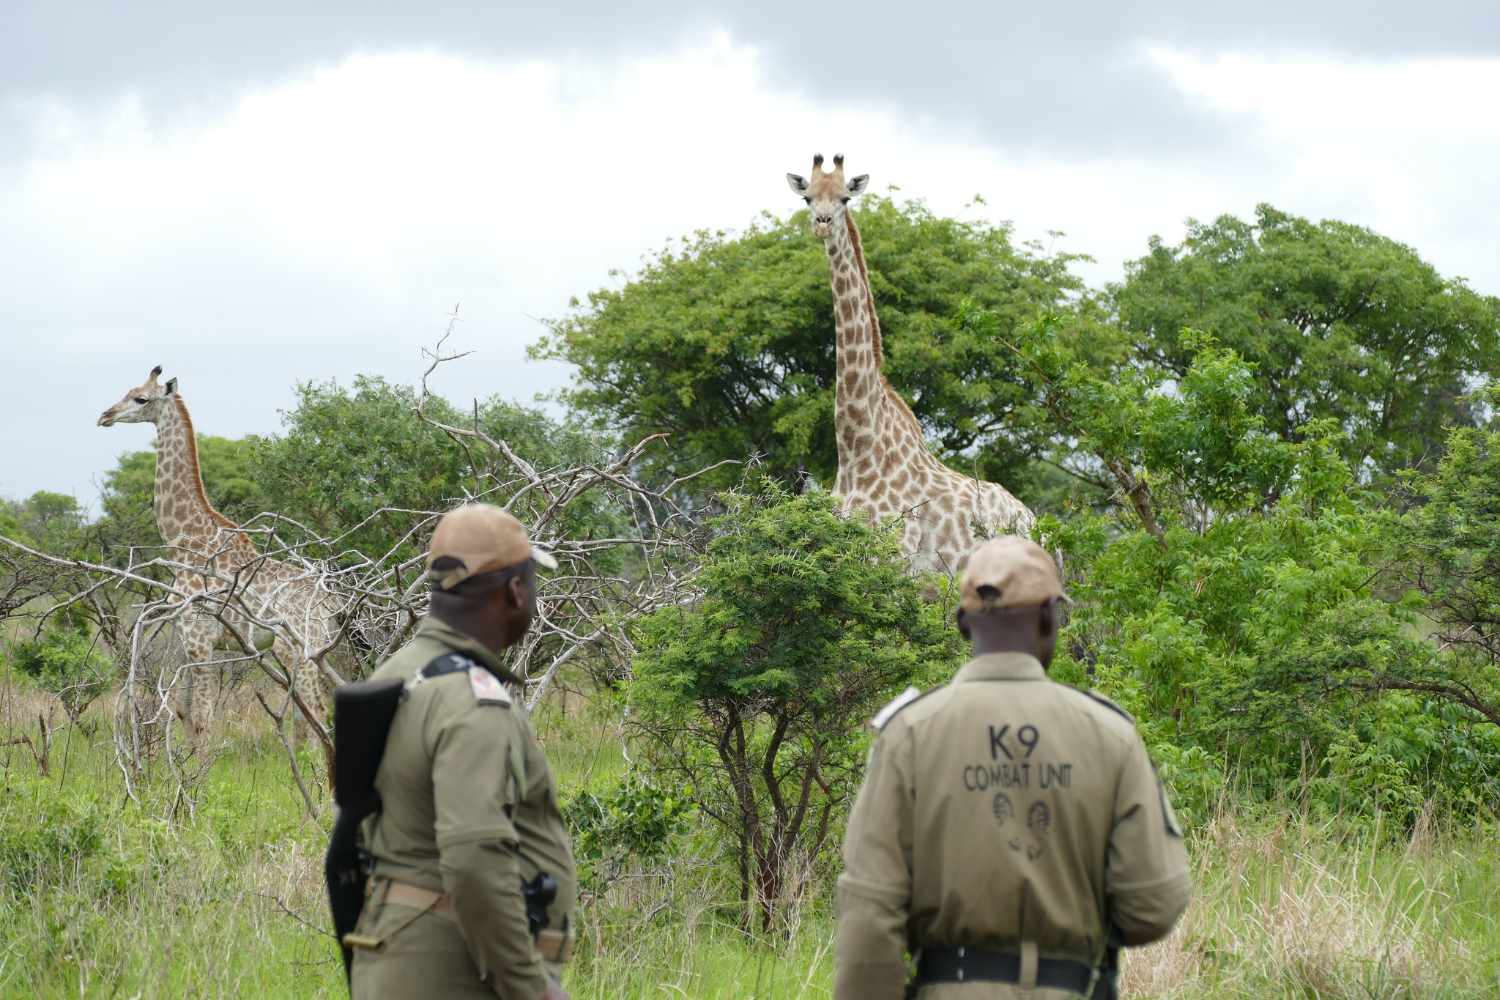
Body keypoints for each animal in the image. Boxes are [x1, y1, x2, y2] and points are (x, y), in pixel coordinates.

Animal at [98, 365, 336, 749]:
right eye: (128, 391)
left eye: (141, 398)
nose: (105, 416)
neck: (183, 537)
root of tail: (328, 601)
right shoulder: (187, 639)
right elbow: (185, 714)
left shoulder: (199, 640)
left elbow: (205, 719)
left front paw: (198, 767)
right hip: (306, 647)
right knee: (306, 713)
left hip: (298, 646)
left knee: (316, 708)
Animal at [786, 152, 1032, 575]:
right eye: (808, 198)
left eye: (845, 199)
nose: (822, 223)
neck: (857, 449)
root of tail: (1034, 519)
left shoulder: (894, 562)